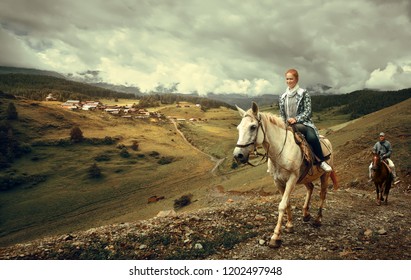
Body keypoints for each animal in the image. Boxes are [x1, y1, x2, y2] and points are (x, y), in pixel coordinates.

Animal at [233, 101, 340, 248]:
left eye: (253, 127)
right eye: (238, 128)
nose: (238, 155)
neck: (280, 152)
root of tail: (327, 141)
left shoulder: (292, 179)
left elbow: (282, 205)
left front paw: (275, 236)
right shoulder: (278, 181)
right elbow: (287, 203)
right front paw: (289, 225)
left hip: (325, 176)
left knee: (322, 194)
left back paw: (318, 220)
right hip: (305, 177)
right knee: (310, 188)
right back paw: (306, 214)